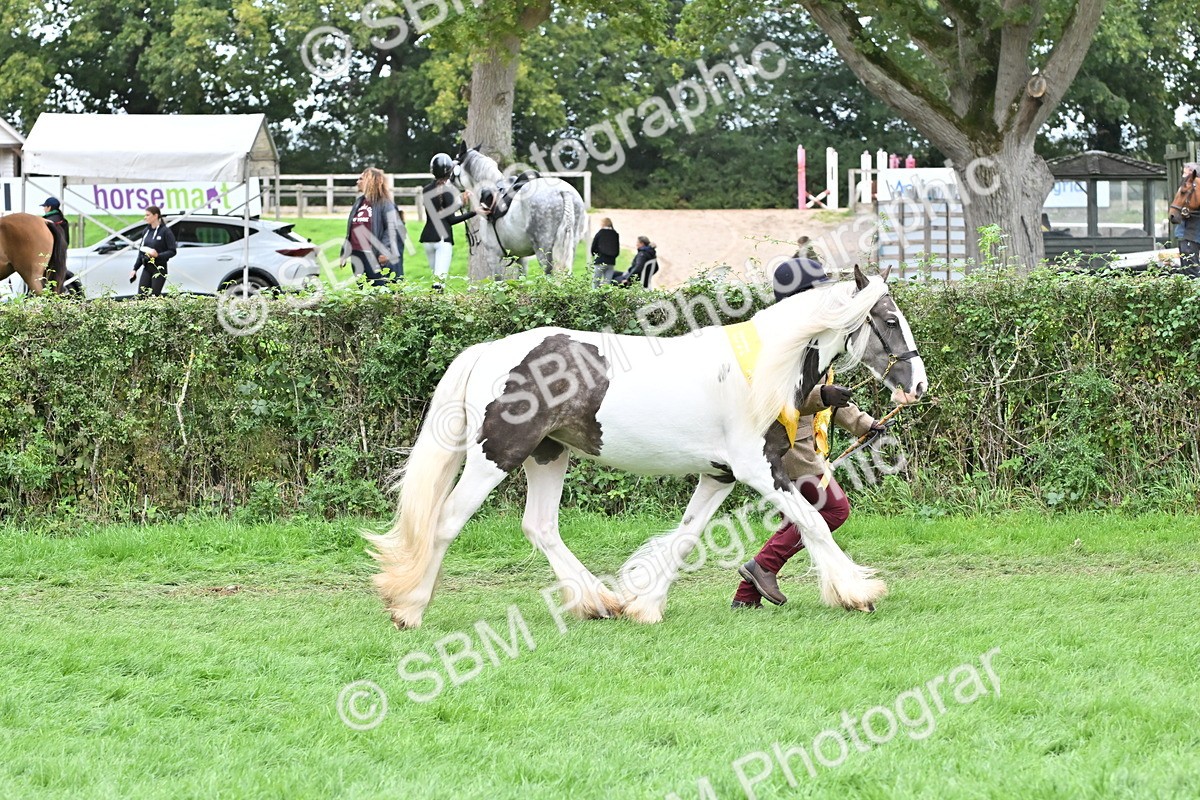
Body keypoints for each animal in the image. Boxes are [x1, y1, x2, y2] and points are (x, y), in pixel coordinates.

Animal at [368, 265, 928, 629]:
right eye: (890, 320)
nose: (917, 385)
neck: (765, 370)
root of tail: (489, 352)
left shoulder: (719, 475)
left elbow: (687, 535)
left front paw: (645, 605)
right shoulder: (758, 468)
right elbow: (812, 522)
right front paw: (858, 592)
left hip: (549, 454)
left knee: (540, 526)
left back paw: (599, 603)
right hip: (495, 456)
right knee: (446, 521)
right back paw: (410, 609)